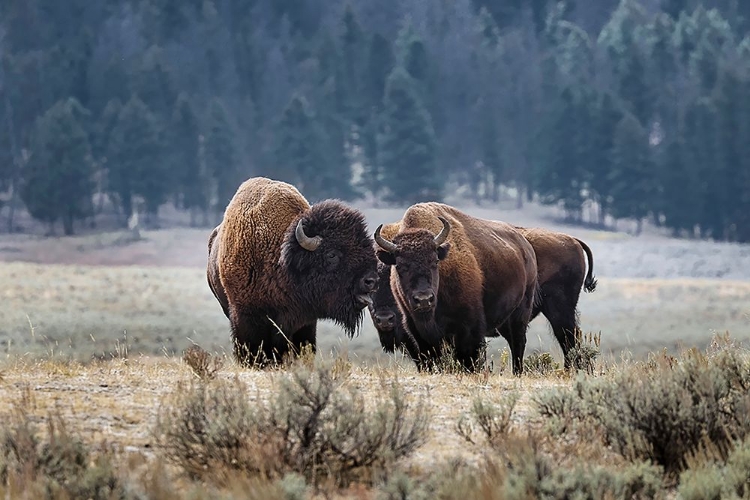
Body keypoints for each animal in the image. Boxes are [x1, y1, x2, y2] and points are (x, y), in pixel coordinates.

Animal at [376, 203, 540, 376]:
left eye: (435, 261)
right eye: (400, 266)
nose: (424, 299)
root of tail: (526, 247)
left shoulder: (468, 327)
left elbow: (469, 357)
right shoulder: (417, 330)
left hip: (521, 312)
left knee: (518, 343)